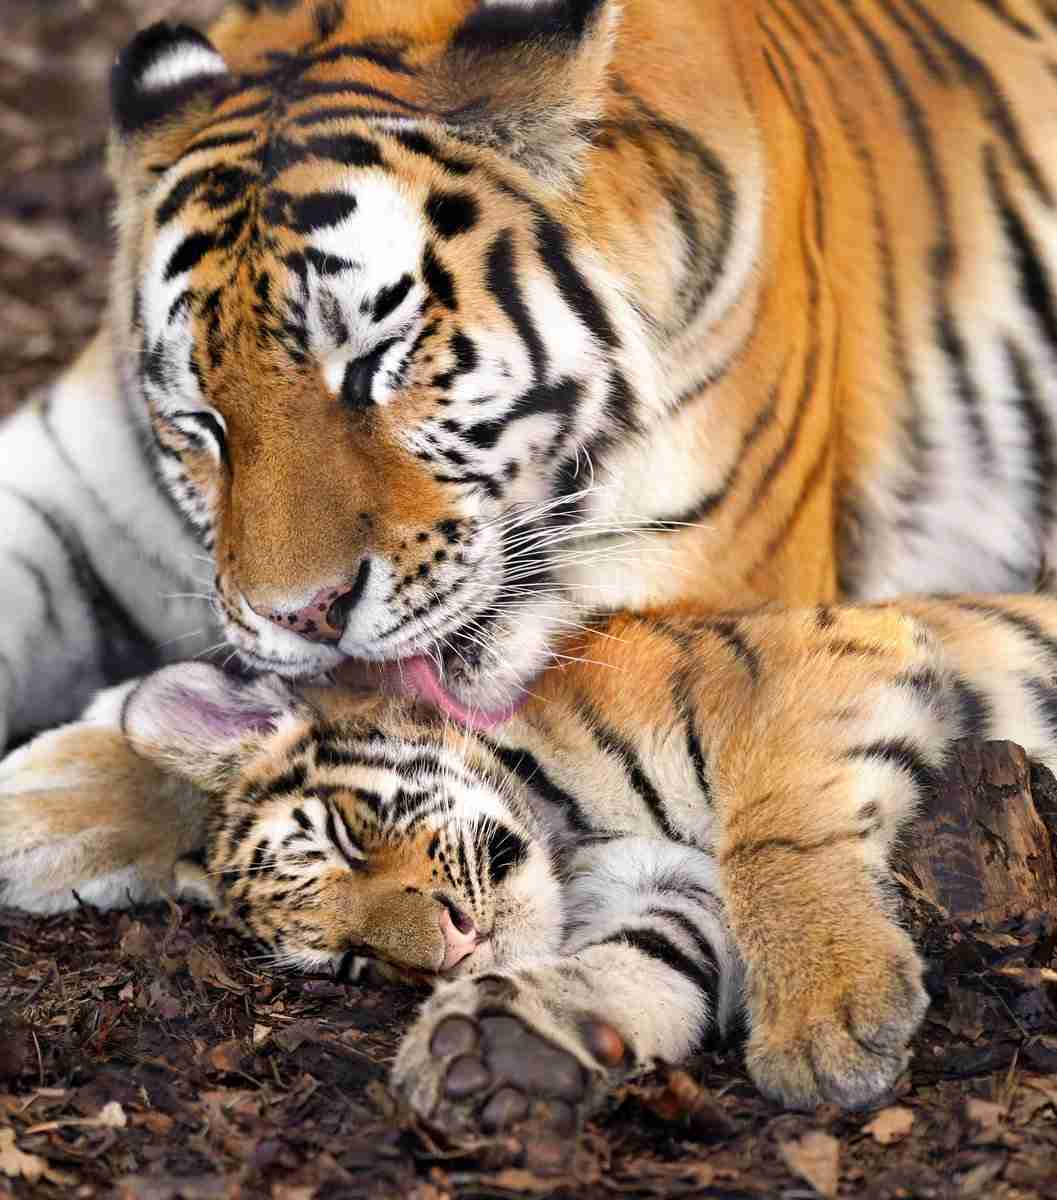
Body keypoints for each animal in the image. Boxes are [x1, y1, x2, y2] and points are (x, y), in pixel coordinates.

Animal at [4, 593, 1057, 1130]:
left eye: (345, 836)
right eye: (353, 965)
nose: (448, 952)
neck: (570, 828)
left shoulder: (821, 654)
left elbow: (775, 830)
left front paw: (825, 1016)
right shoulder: (663, 880)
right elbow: (644, 957)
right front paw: (505, 1042)